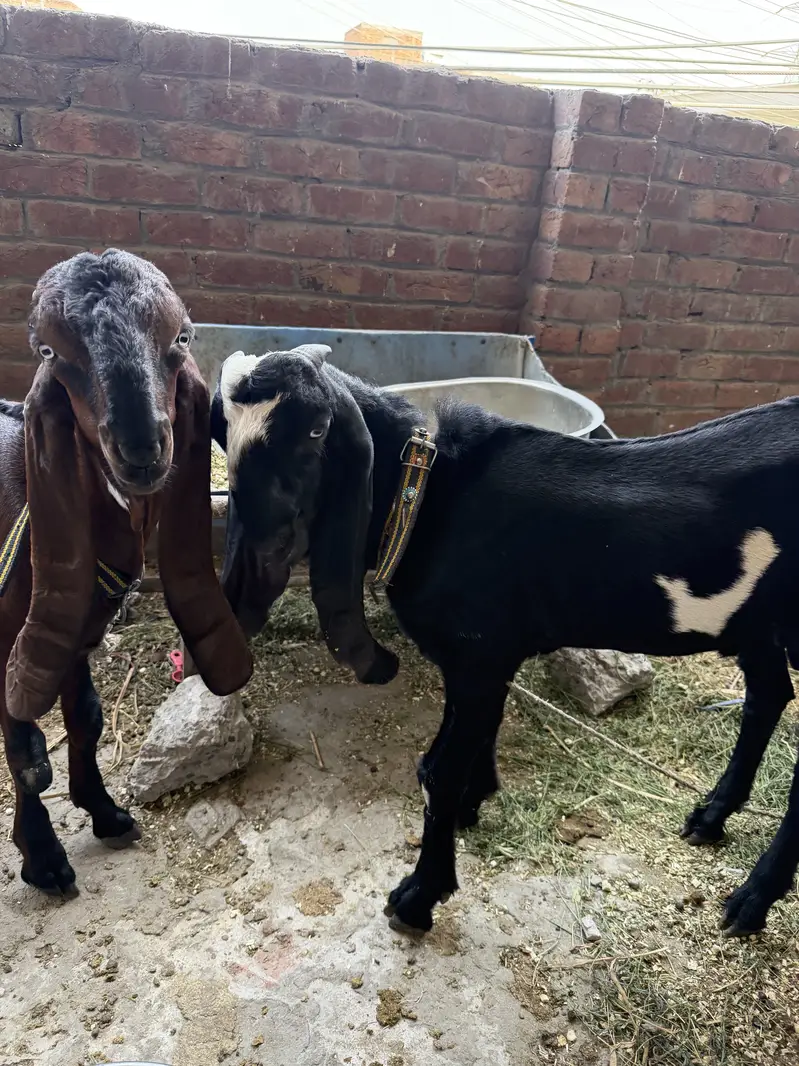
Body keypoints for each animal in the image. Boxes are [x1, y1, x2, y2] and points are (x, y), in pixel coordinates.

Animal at [0, 249, 251, 897]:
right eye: (48, 351)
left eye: (182, 336)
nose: (142, 447)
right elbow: (27, 757)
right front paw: (43, 859)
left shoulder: (74, 632)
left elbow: (86, 718)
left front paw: (105, 811)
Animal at [212, 343, 799, 939]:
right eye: (224, 434)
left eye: (315, 433)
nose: (254, 572)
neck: (432, 497)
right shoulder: (478, 660)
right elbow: (465, 745)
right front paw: (474, 804)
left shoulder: (479, 659)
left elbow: (439, 772)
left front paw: (419, 895)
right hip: (757, 624)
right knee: (769, 696)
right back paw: (712, 816)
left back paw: (752, 900)